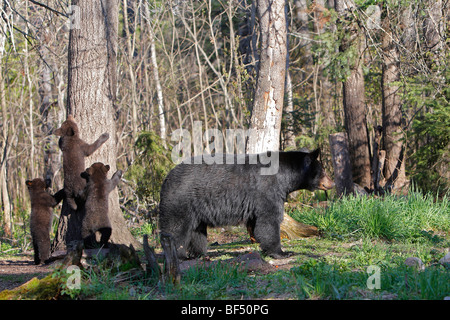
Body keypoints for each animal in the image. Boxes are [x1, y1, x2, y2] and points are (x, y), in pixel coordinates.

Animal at [159, 150, 334, 260]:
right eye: (323, 170)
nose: (332, 183)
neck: (285, 176)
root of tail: (167, 178)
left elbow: (258, 223)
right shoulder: (267, 189)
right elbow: (269, 221)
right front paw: (282, 252)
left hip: (196, 208)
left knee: (197, 231)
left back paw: (201, 254)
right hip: (181, 200)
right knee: (176, 228)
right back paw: (179, 255)